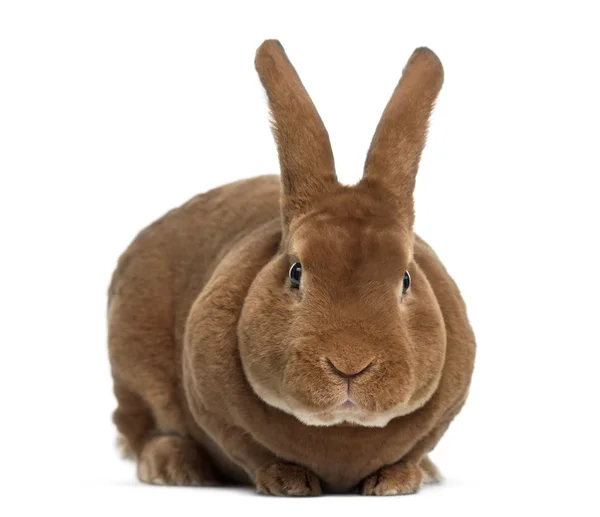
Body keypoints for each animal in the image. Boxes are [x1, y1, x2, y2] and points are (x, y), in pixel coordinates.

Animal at [106, 38, 474, 494]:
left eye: (405, 279)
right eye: (296, 272)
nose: (350, 363)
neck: (342, 429)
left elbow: (415, 449)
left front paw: (397, 481)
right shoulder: (214, 410)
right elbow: (250, 450)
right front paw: (288, 482)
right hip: (132, 370)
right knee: (140, 426)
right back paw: (173, 467)